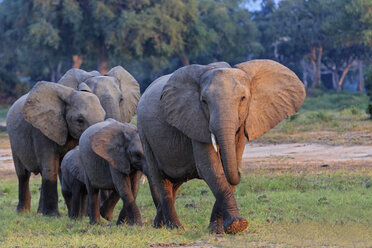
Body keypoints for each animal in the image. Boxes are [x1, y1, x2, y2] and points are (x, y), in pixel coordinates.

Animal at [6, 81, 106, 215]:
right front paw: (53, 215)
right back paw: (23, 213)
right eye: (79, 120)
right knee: (23, 174)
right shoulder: (42, 130)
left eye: (104, 117)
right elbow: (51, 167)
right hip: (13, 139)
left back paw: (40, 213)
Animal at [137, 60, 306, 234]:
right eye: (204, 101)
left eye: (243, 99)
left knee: (175, 183)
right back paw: (175, 228)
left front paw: (219, 229)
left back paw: (158, 225)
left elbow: (228, 166)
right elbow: (210, 168)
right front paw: (237, 225)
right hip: (144, 134)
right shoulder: (195, 120)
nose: (240, 171)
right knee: (161, 179)